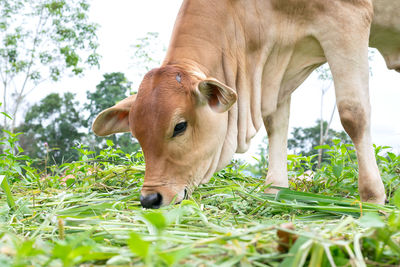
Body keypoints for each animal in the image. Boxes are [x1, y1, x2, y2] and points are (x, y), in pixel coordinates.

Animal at [92, 0, 398, 209]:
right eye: (137, 134)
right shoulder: (278, 67)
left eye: (179, 126)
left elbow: (353, 114)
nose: (149, 199)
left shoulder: (348, 19)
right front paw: (274, 190)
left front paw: (372, 197)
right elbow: (276, 125)